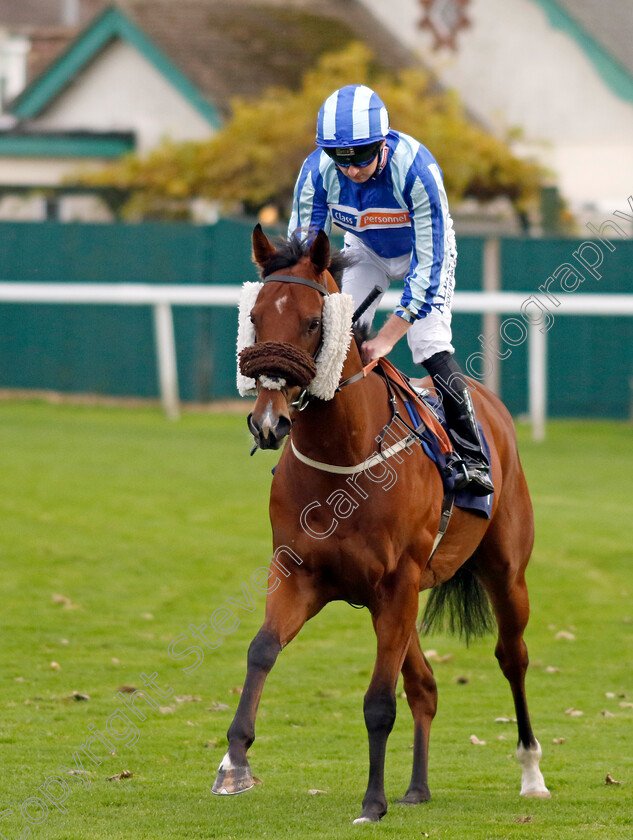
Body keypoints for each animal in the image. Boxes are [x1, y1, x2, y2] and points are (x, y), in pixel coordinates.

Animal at [212, 225, 548, 820]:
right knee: (425, 685)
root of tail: (489, 402)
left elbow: (377, 702)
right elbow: (261, 650)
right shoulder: (301, 575)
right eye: (254, 315)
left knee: (512, 657)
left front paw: (372, 801)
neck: (344, 460)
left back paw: (531, 771)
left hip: (504, 572)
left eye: (313, 322)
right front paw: (235, 762)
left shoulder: (397, 583)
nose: (268, 422)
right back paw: (417, 786)